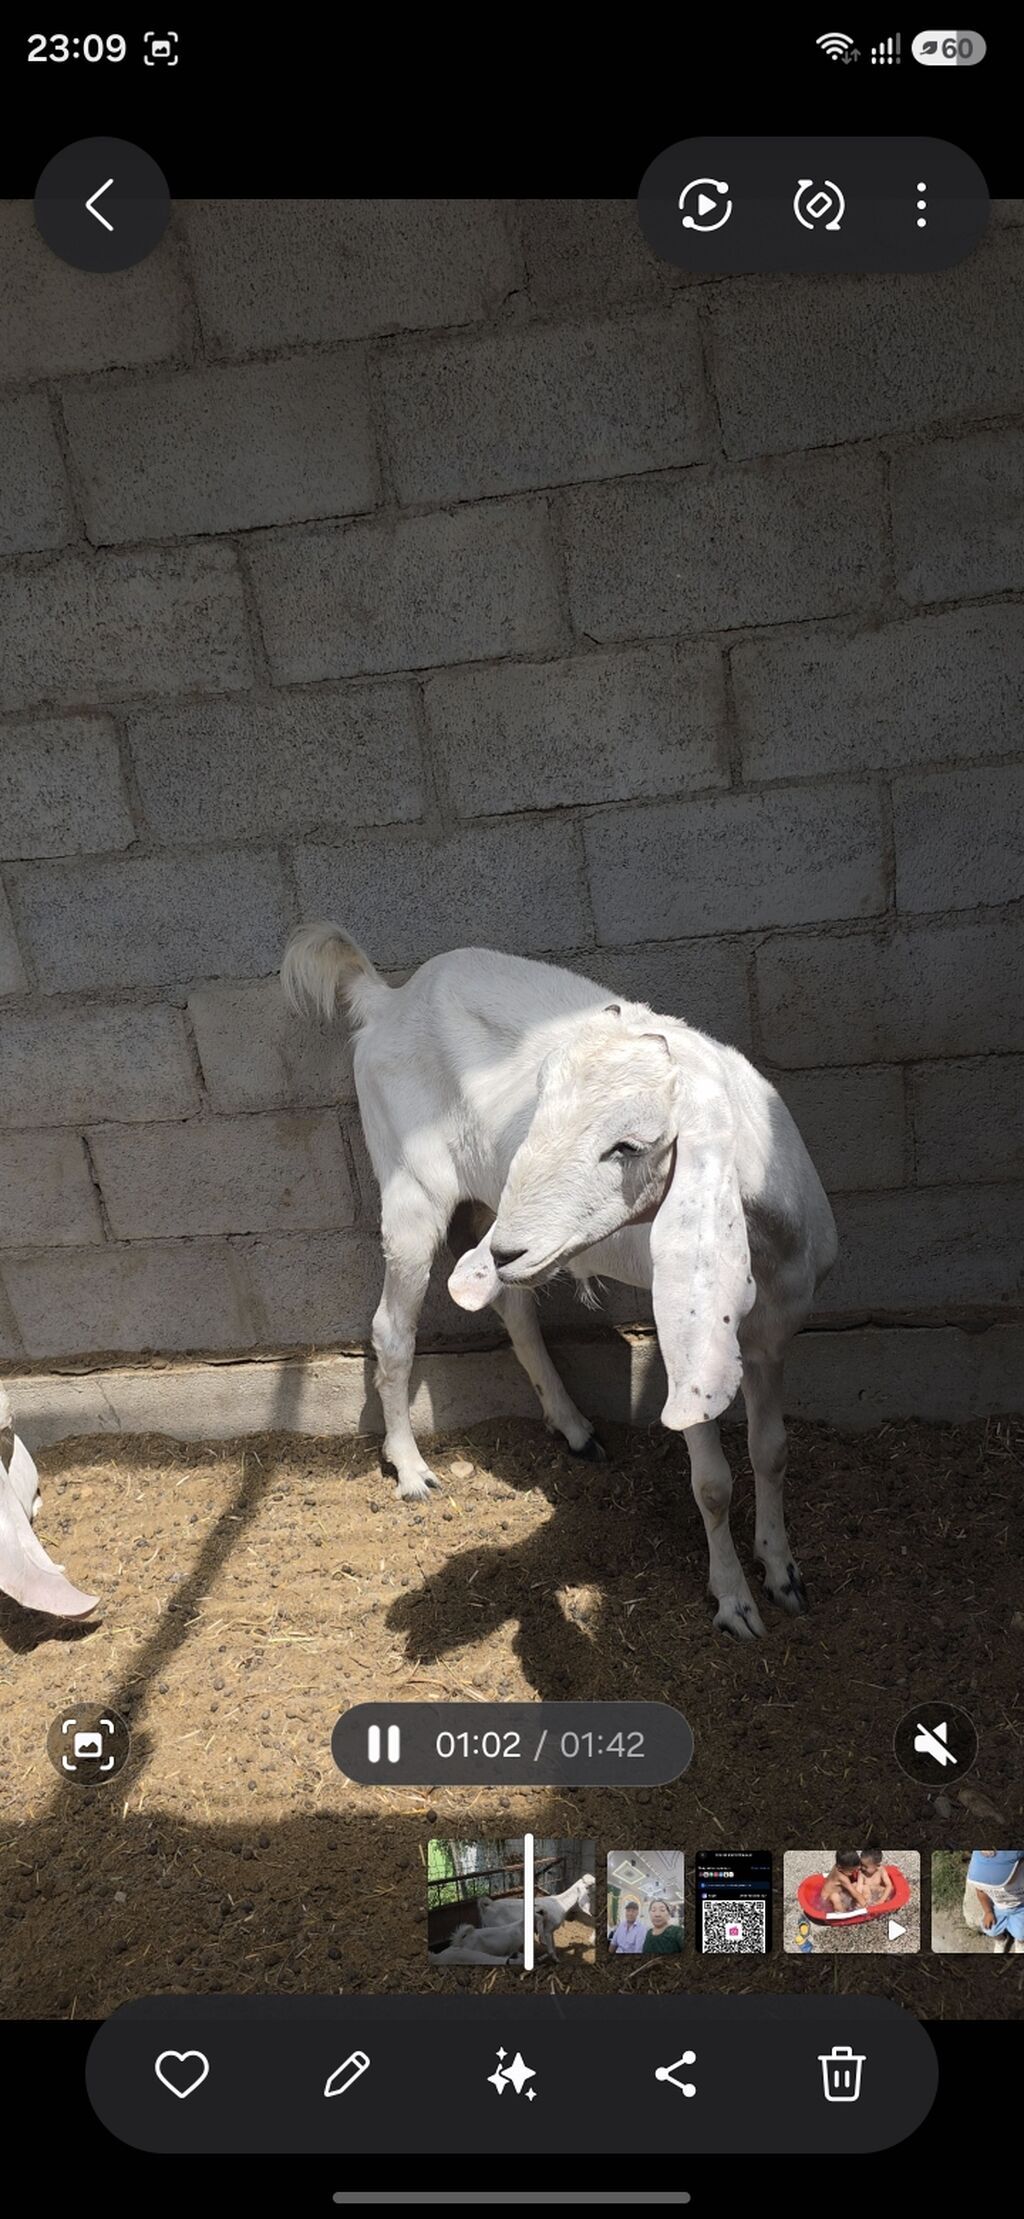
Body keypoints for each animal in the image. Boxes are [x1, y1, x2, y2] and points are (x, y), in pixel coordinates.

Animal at [281, 927, 838, 1640]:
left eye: (629, 1145)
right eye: (540, 1114)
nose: (511, 1246)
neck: (764, 1252)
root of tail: (387, 999)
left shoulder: (773, 1336)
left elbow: (772, 1451)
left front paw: (784, 1575)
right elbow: (712, 1483)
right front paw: (734, 1603)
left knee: (513, 1310)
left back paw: (574, 1427)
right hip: (411, 1188)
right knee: (392, 1329)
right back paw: (411, 1469)